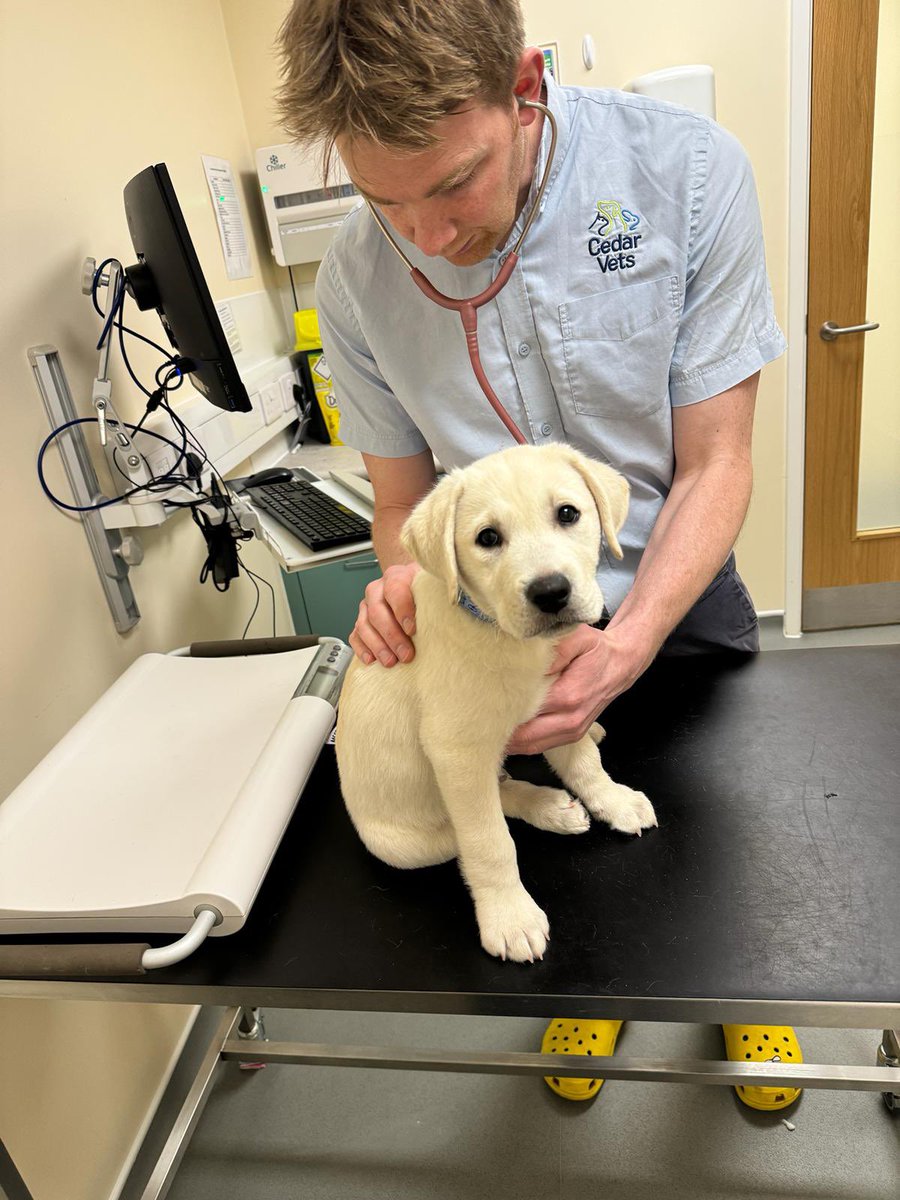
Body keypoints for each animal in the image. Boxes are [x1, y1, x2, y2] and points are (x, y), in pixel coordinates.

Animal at [336, 446, 657, 960]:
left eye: (568, 513)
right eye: (487, 538)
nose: (551, 592)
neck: (503, 636)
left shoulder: (561, 703)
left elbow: (584, 763)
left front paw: (613, 799)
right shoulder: (457, 752)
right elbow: (490, 843)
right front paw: (510, 917)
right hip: (408, 842)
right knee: (473, 823)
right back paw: (546, 808)